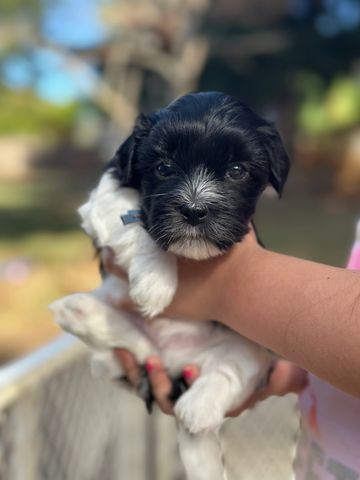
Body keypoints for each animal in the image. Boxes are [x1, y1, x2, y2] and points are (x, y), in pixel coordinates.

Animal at [50, 91, 290, 480]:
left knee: (229, 368)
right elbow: (135, 221)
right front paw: (156, 282)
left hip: (251, 345)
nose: (193, 210)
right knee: (129, 351)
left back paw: (197, 410)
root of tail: (172, 358)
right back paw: (80, 312)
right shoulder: (106, 198)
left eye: (237, 171)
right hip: (119, 341)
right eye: (163, 168)